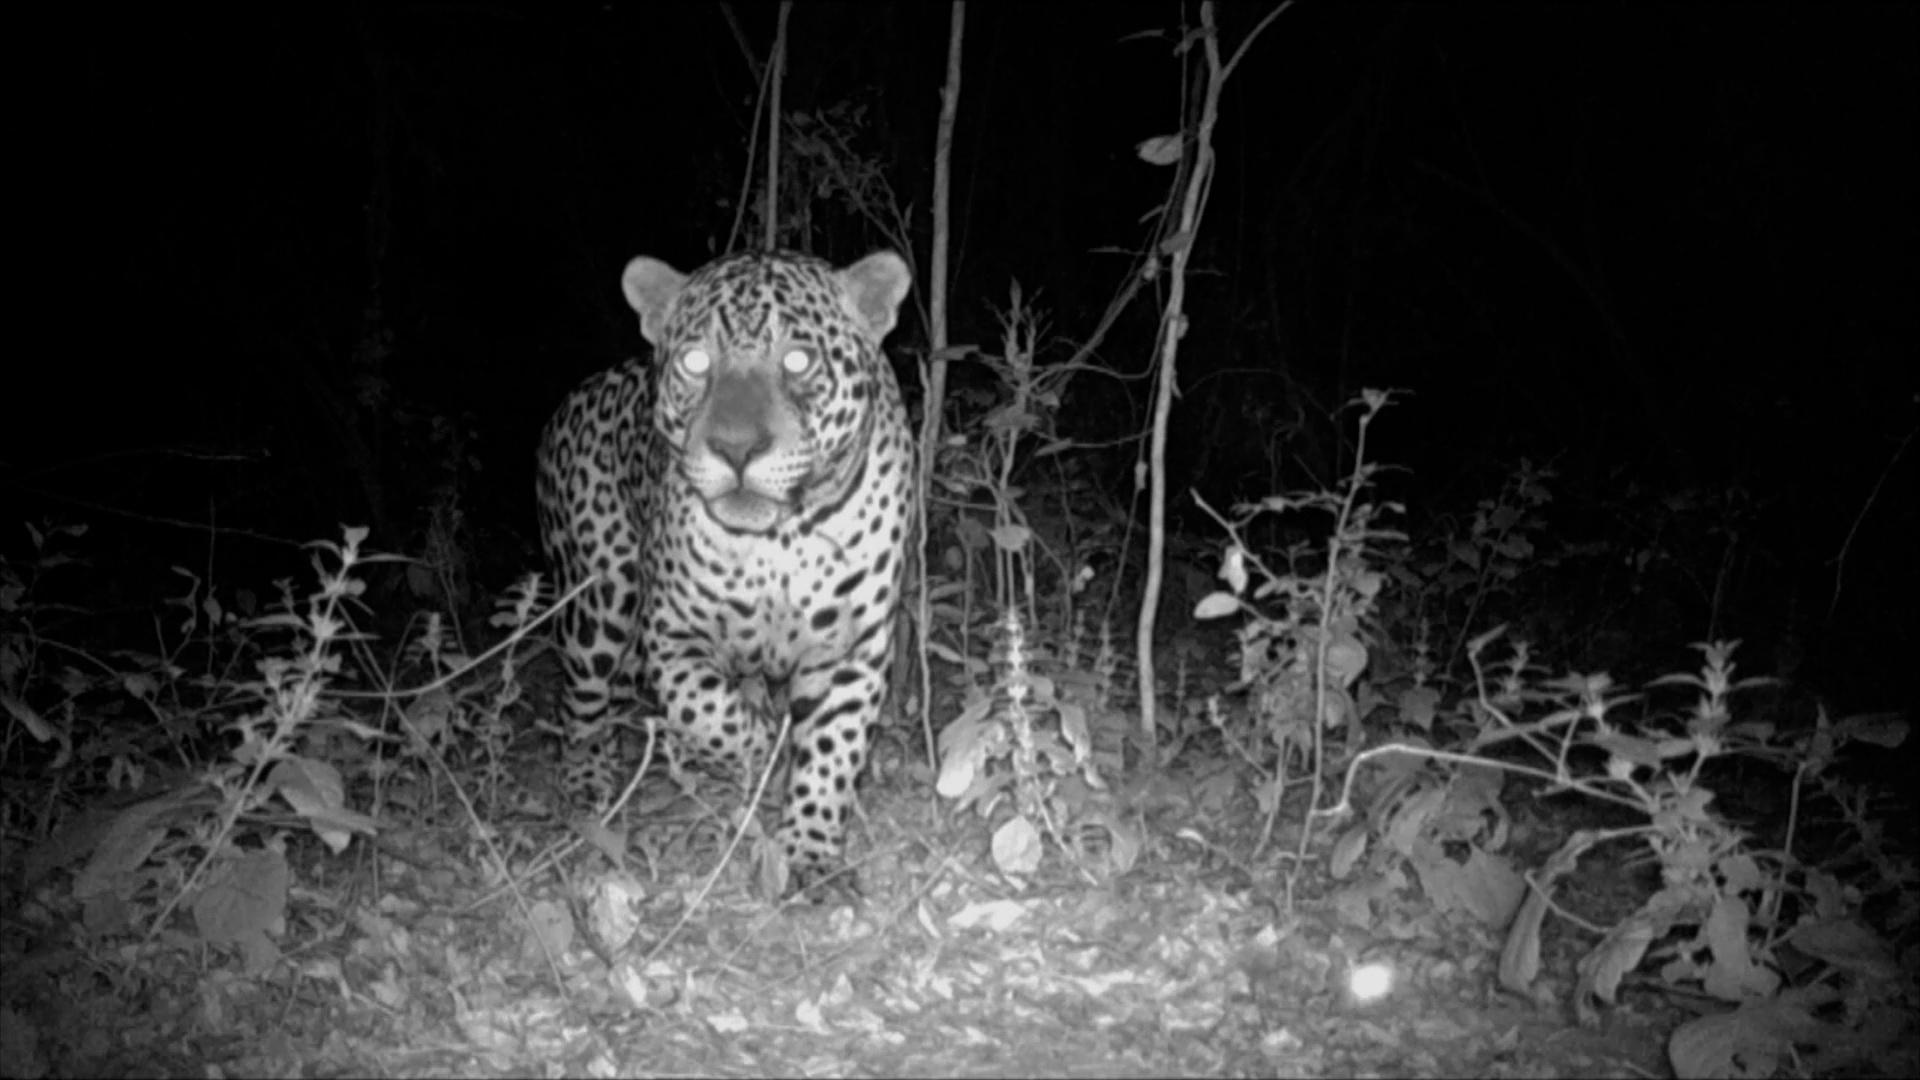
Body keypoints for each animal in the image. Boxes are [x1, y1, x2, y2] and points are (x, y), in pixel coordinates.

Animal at [535, 249, 914, 897]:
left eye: (797, 359)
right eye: (695, 361)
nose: (736, 450)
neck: (783, 539)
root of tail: (574, 397)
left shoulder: (849, 649)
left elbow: (831, 749)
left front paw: (810, 849)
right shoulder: (672, 637)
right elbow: (710, 714)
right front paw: (765, 752)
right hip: (599, 602)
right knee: (581, 700)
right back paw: (588, 788)